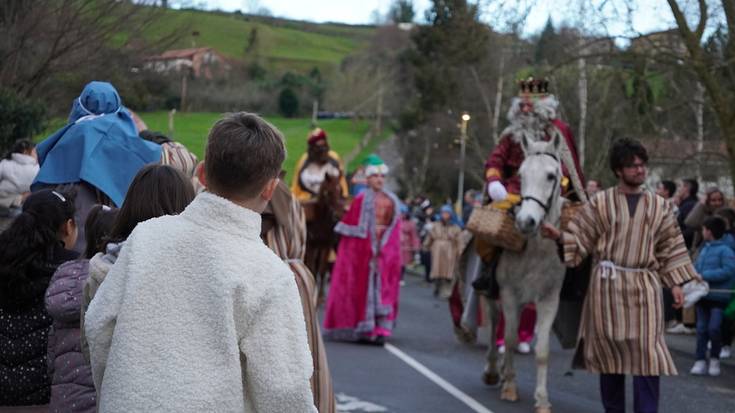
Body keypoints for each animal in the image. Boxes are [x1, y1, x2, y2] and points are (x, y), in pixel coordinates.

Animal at [484, 134, 568, 412]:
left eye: (551, 175)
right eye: (521, 174)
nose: (526, 221)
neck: (535, 251)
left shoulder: (548, 300)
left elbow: (542, 350)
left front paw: (542, 399)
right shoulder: (509, 294)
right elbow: (508, 338)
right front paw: (510, 386)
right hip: (492, 296)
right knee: (494, 326)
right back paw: (493, 371)